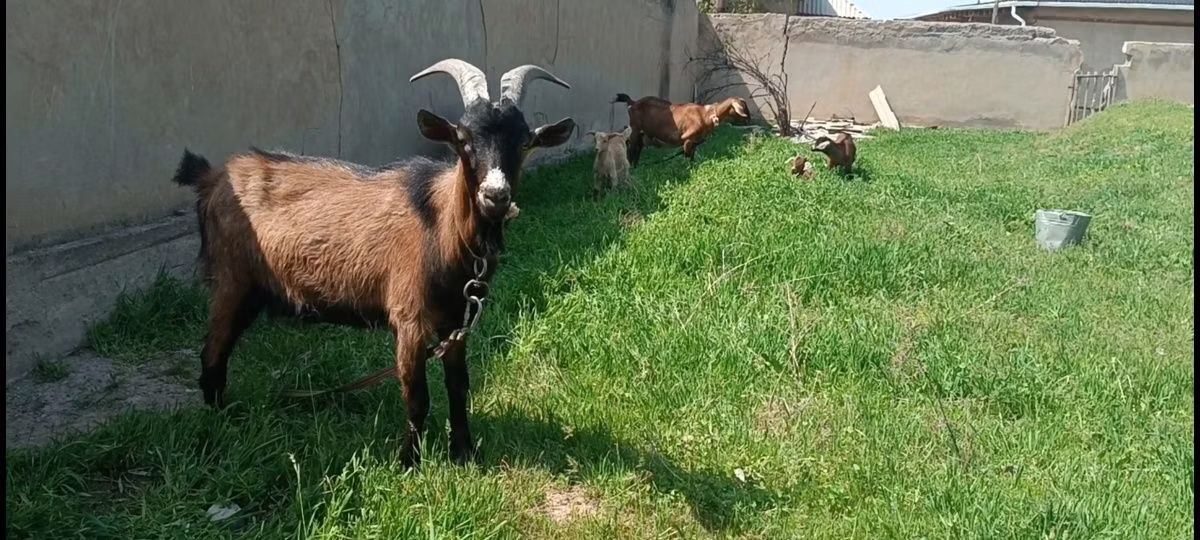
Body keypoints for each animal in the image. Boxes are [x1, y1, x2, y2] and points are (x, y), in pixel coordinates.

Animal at [172, 58, 575, 468]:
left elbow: (459, 387)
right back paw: (220, 420)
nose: (495, 196)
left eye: (524, 142)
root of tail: (212, 178)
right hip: (231, 280)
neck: (440, 228)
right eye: (463, 139)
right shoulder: (409, 319)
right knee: (213, 352)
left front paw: (464, 452)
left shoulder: (456, 322)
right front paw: (408, 462)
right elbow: (417, 396)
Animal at [613, 93, 750, 168]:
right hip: (635, 130)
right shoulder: (687, 139)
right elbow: (686, 156)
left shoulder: (695, 141)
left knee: (637, 151)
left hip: (642, 135)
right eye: (743, 106)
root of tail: (632, 103)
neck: (706, 114)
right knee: (631, 151)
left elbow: (691, 157)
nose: (748, 118)